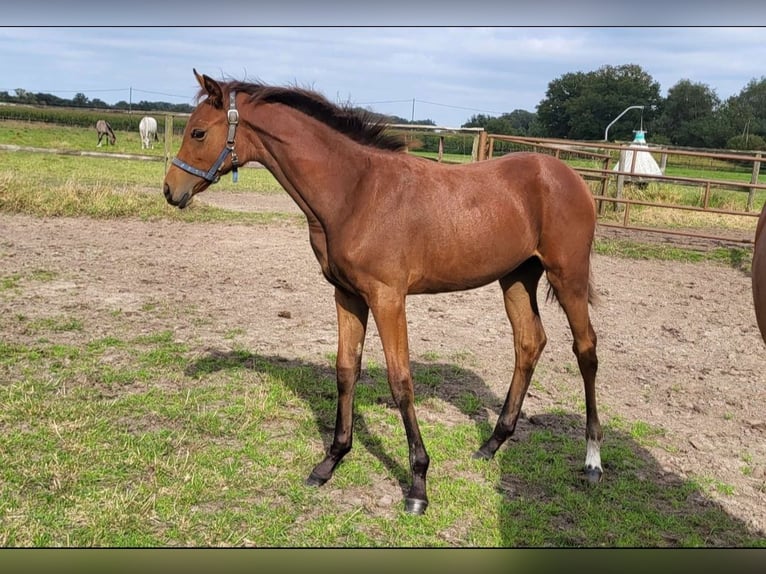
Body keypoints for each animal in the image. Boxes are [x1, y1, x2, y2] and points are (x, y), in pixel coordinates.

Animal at [164, 68, 608, 516]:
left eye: (198, 132)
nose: (170, 189)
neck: (356, 192)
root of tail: (572, 177)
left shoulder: (388, 298)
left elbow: (400, 380)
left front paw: (418, 486)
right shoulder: (346, 295)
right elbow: (346, 369)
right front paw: (330, 461)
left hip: (567, 275)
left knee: (585, 349)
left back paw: (592, 461)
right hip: (517, 276)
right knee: (529, 343)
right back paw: (492, 444)